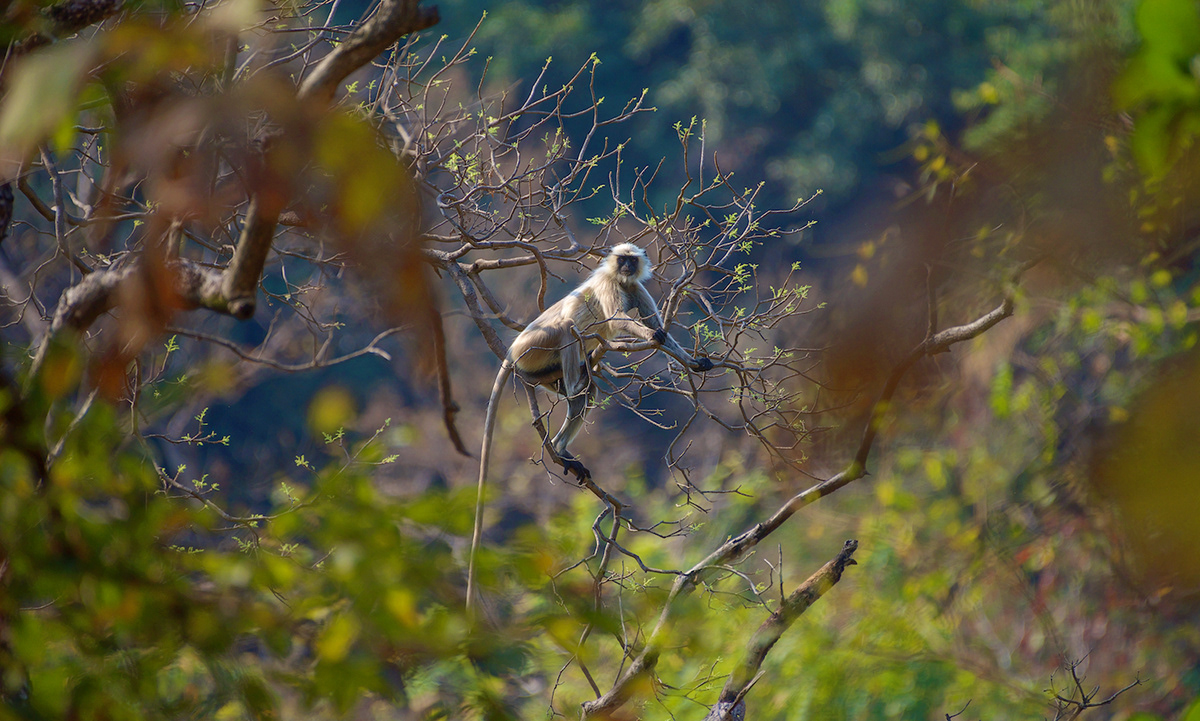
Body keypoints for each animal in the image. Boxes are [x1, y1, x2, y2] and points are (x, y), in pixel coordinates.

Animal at [465, 243, 710, 611]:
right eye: (621, 259)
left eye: (631, 260)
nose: (626, 266)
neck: (620, 280)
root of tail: (511, 350)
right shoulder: (610, 283)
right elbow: (623, 320)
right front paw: (654, 335)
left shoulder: (633, 287)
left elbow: (654, 326)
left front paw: (694, 362)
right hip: (533, 351)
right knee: (567, 327)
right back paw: (571, 401)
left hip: (541, 371)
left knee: (584, 392)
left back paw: (562, 446)